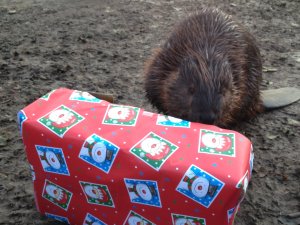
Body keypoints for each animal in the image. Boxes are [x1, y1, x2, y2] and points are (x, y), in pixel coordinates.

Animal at [144, 8, 298, 128]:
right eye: (191, 89)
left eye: (223, 91)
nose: (207, 118)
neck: (206, 55)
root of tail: (260, 99)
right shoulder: (161, 63)